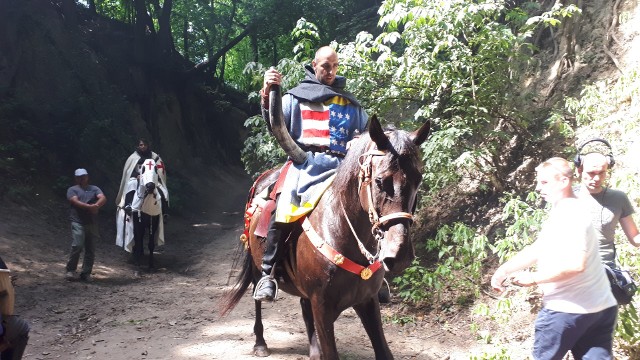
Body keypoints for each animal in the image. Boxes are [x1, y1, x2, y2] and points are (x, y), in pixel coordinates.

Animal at [221, 88, 430, 360]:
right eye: (380, 181)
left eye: (418, 178)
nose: (401, 254)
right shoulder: (322, 305)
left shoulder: (367, 300)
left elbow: (384, 351)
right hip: (258, 268)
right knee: (257, 297)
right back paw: (260, 341)